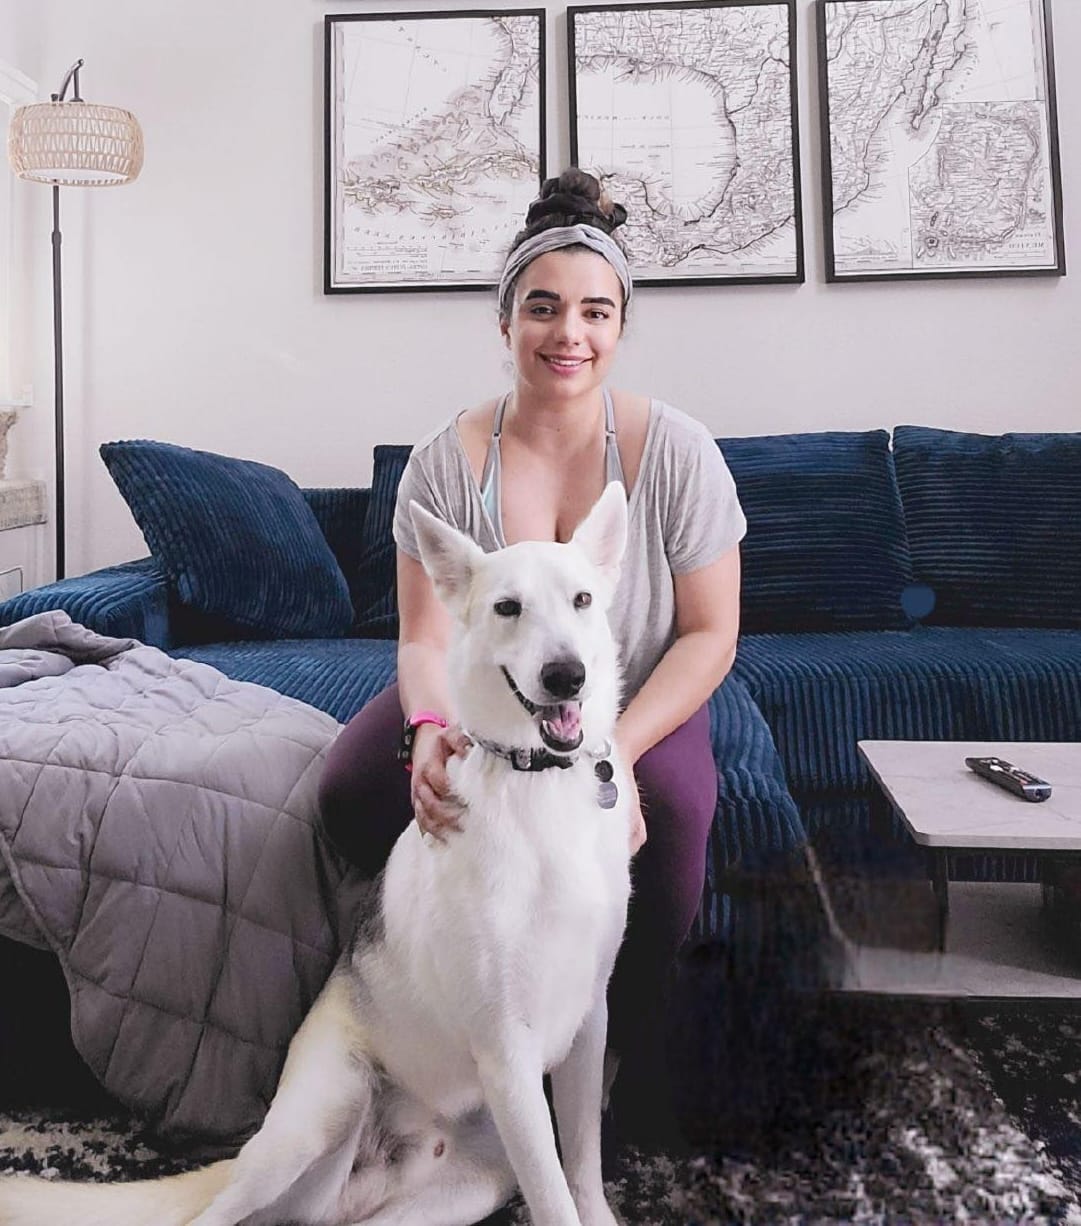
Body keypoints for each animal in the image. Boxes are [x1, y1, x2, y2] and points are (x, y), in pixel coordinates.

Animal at [2, 483, 632, 1226]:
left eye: (582, 600)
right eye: (508, 608)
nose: (567, 676)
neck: (536, 781)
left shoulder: (590, 1026)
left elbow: (583, 1171)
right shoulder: (507, 1055)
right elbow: (557, 1198)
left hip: (469, 1186)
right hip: (317, 1121)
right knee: (215, 1215)